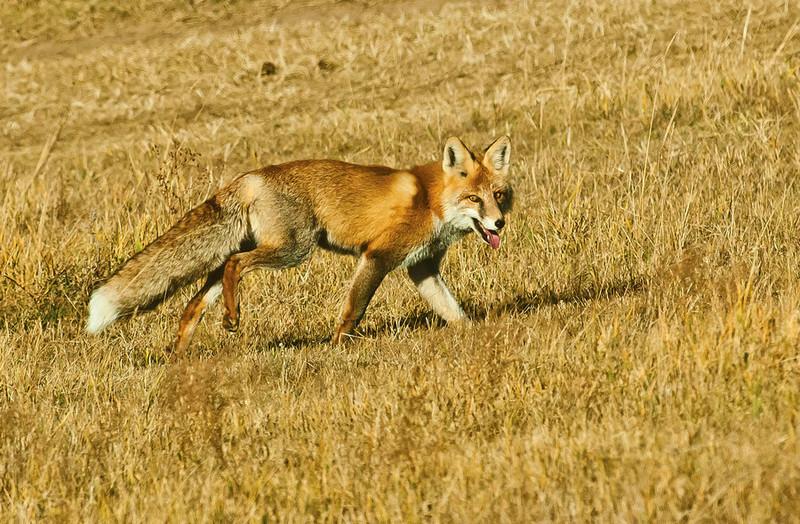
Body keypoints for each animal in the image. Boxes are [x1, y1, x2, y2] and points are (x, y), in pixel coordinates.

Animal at [86, 136, 512, 352]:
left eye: (498, 195)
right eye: (474, 199)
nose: (499, 223)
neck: (432, 201)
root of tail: (250, 176)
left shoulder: (422, 267)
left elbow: (454, 311)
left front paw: (476, 335)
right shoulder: (378, 255)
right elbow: (353, 309)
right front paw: (339, 348)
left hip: (261, 248)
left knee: (200, 294)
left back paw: (182, 348)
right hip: (293, 249)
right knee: (235, 265)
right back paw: (231, 318)